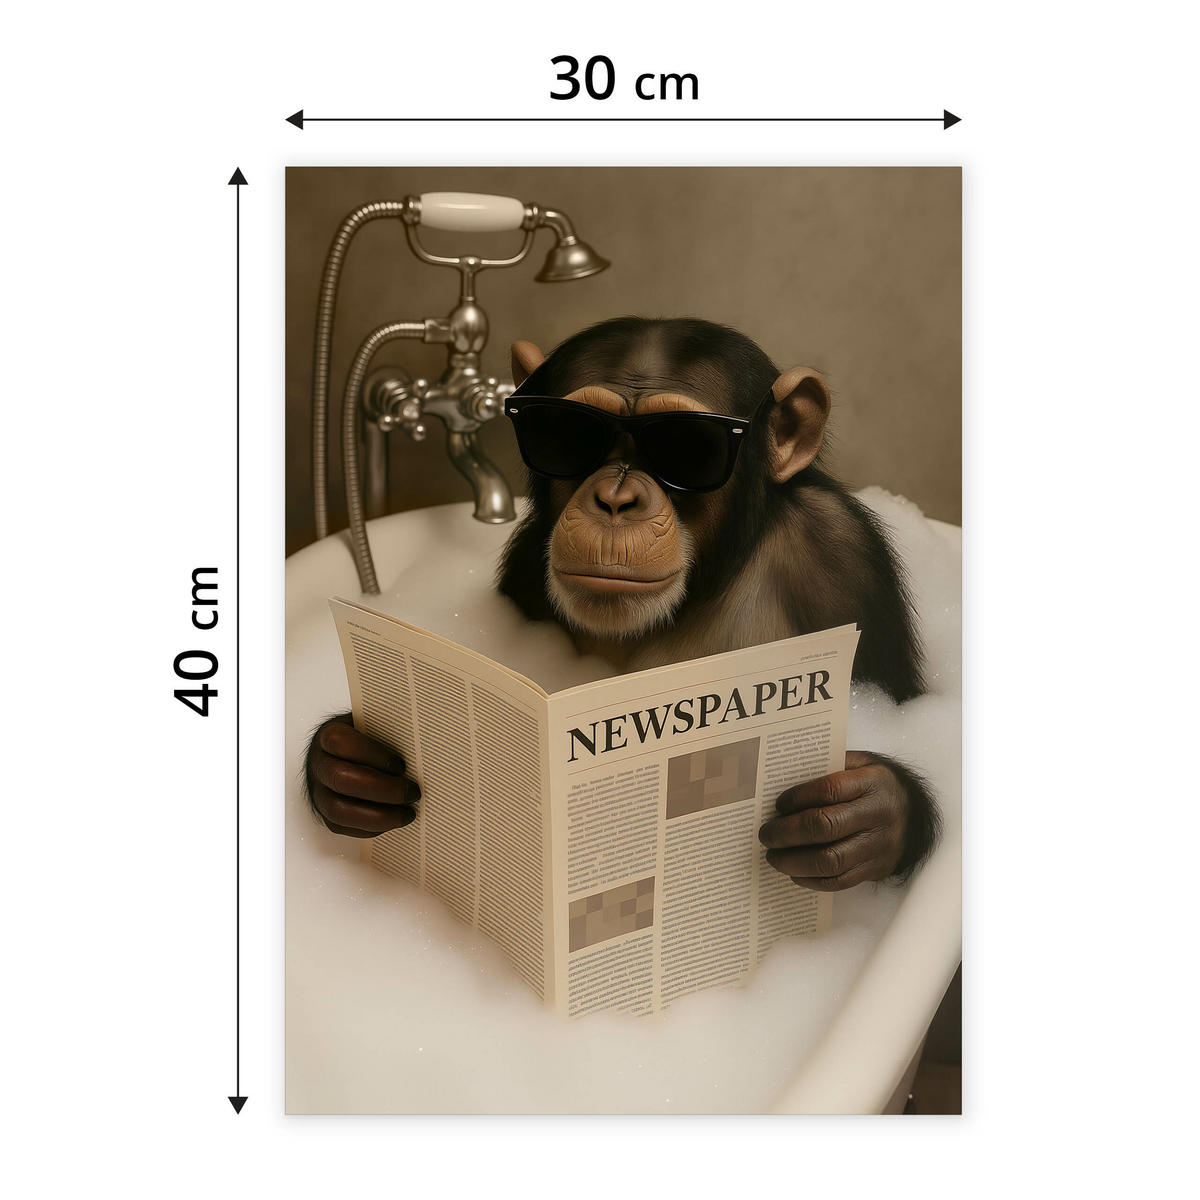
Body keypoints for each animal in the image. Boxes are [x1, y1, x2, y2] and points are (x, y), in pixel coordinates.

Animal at [306, 318, 941, 890]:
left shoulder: (843, 554)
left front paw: (870, 813)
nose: (615, 498)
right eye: (565, 432)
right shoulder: (524, 570)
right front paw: (346, 766)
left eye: (688, 444)